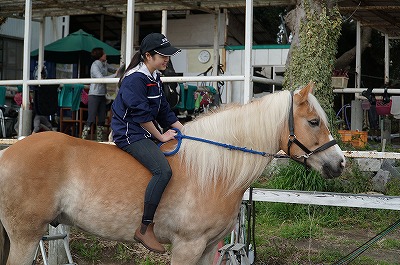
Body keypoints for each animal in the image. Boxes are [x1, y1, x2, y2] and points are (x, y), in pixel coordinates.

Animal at [0, 81, 344, 262]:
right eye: (314, 122)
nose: (339, 163)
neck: (215, 172)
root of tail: (7, 154)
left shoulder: (208, 248)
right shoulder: (187, 247)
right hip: (26, 236)